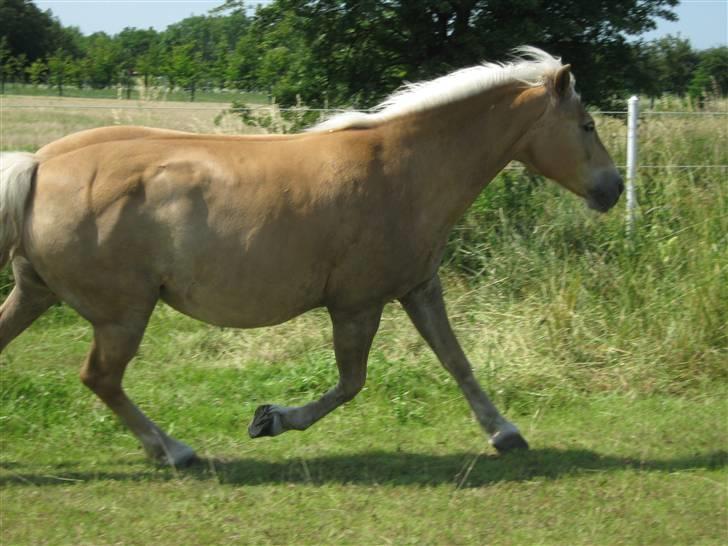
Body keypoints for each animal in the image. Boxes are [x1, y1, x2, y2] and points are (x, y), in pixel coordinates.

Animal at [2, 47, 624, 464]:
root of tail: (40, 164)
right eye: (587, 124)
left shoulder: (418, 287)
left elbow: (457, 361)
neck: (406, 169)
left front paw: (504, 433)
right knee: (101, 377)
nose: (614, 189)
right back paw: (174, 449)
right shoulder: (357, 304)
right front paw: (270, 419)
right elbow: (351, 383)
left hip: (36, 293)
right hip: (122, 314)